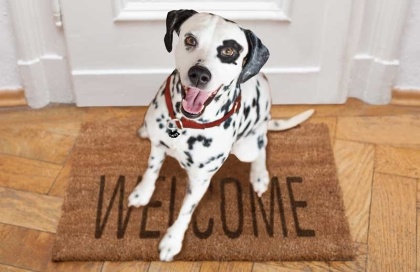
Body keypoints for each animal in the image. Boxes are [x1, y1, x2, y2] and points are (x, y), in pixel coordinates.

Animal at [128, 9, 316, 262]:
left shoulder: (200, 180)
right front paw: (142, 193)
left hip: (250, 145)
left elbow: (185, 211)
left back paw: (259, 175)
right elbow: (151, 172)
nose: (199, 74)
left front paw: (172, 240)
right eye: (190, 39)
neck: (186, 124)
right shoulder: (157, 146)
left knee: (262, 145)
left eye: (229, 51)